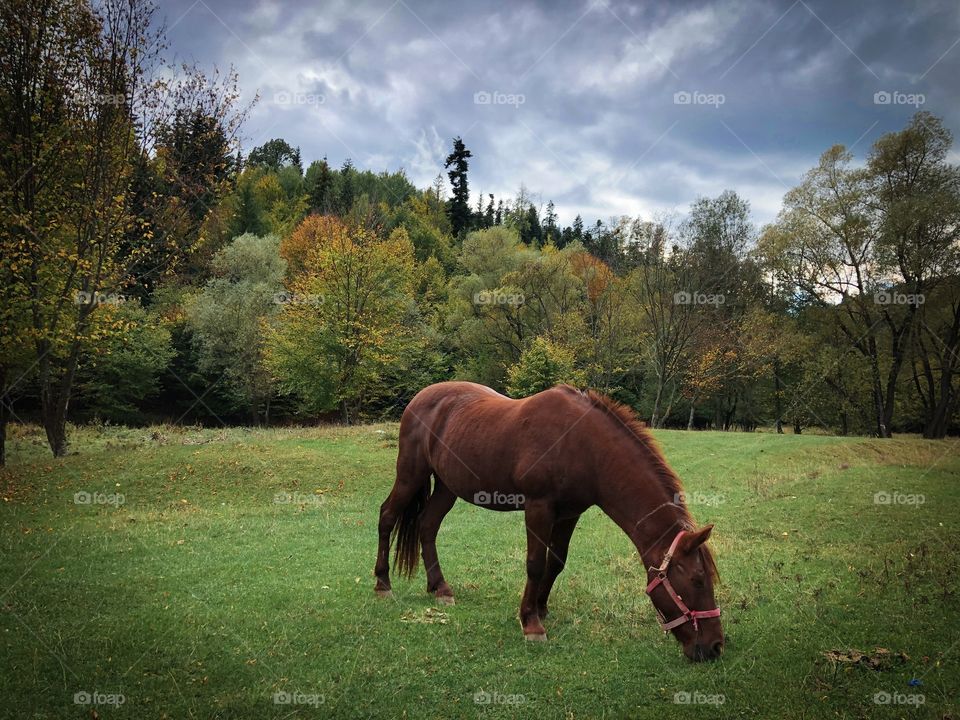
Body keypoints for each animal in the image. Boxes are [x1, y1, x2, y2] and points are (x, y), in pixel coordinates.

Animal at [373, 381, 724, 661]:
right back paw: (383, 584)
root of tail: (421, 398)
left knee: (428, 525)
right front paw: (531, 623)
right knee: (387, 517)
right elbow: (535, 564)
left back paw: (440, 588)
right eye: (696, 580)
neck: (584, 445)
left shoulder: (569, 513)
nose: (716, 646)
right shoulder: (538, 508)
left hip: (448, 486)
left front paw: (541, 608)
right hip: (410, 474)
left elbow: (555, 562)